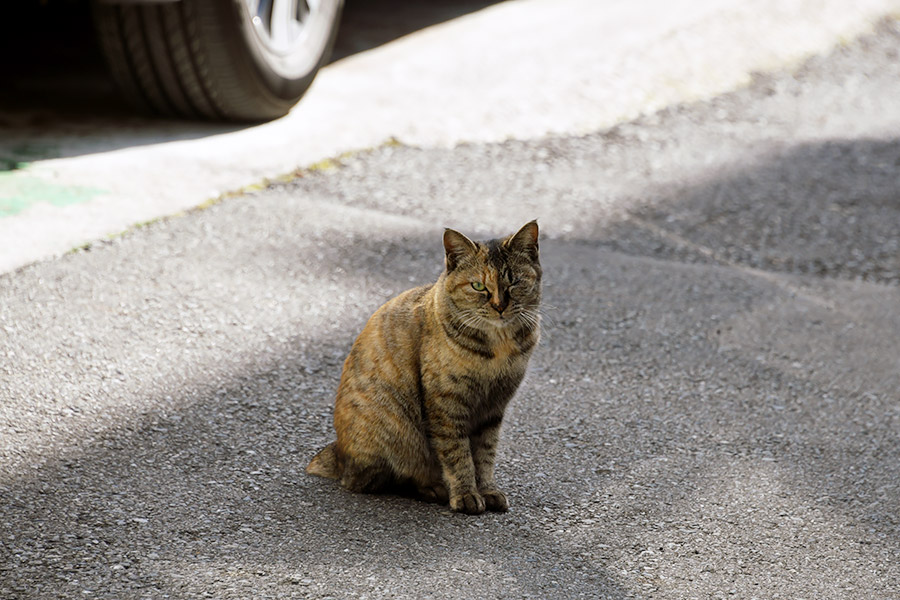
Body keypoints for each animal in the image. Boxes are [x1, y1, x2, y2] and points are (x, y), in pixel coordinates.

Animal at [306, 220, 540, 516]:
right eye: (478, 286)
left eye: (515, 282)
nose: (499, 306)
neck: (499, 345)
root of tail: (338, 451)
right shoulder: (446, 405)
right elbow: (458, 454)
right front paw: (466, 494)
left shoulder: (493, 408)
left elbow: (485, 454)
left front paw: (487, 490)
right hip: (393, 429)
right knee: (375, 481)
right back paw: (434, 489)